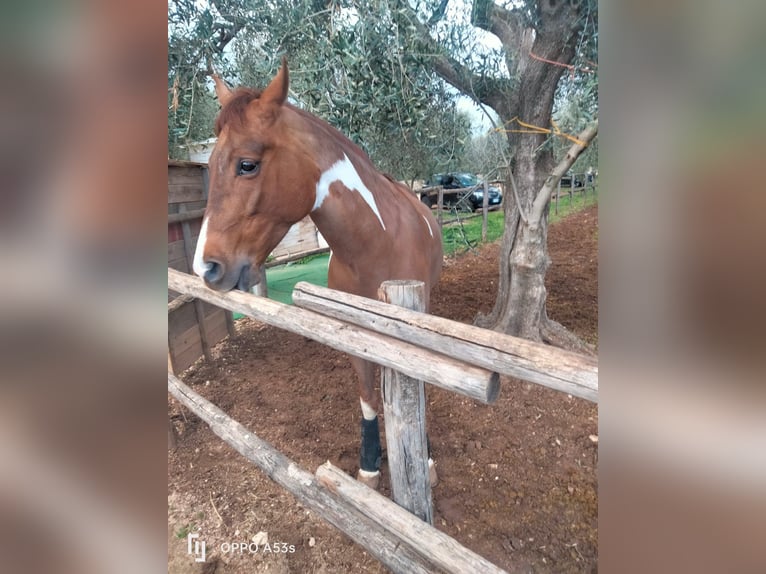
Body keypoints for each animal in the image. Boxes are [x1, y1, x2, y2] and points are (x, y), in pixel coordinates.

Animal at [192, 59, 443, 490]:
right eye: (209, 166)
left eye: (247, 164)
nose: (206, 266)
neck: (376, 245)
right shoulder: (355, 338)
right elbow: (368, 398)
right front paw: (370, 465)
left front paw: (423, 459)